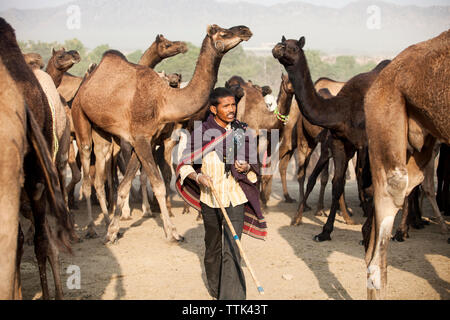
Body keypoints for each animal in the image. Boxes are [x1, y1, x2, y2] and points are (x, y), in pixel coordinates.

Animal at [72, 25, 251, 244]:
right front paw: (173, 233)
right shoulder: (140, 138)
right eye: (222, 32)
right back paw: (90, 228)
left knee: (99, 173)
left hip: (102, 133)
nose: (245, 30)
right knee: (86, 174)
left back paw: (106, 223)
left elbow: (125, 184)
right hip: (80, 116)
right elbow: (158, 185)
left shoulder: (146, 140)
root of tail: (85, 83)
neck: (163, 101)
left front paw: (113, 231)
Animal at [270, 36, 390, 241]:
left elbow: (369, 186)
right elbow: (337, 184)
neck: (343, 109)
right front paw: (325, 231)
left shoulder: (366, 145)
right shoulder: (340, 144)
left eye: (294, 47)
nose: (278, 48)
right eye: (282, 42)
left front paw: (366, 231)